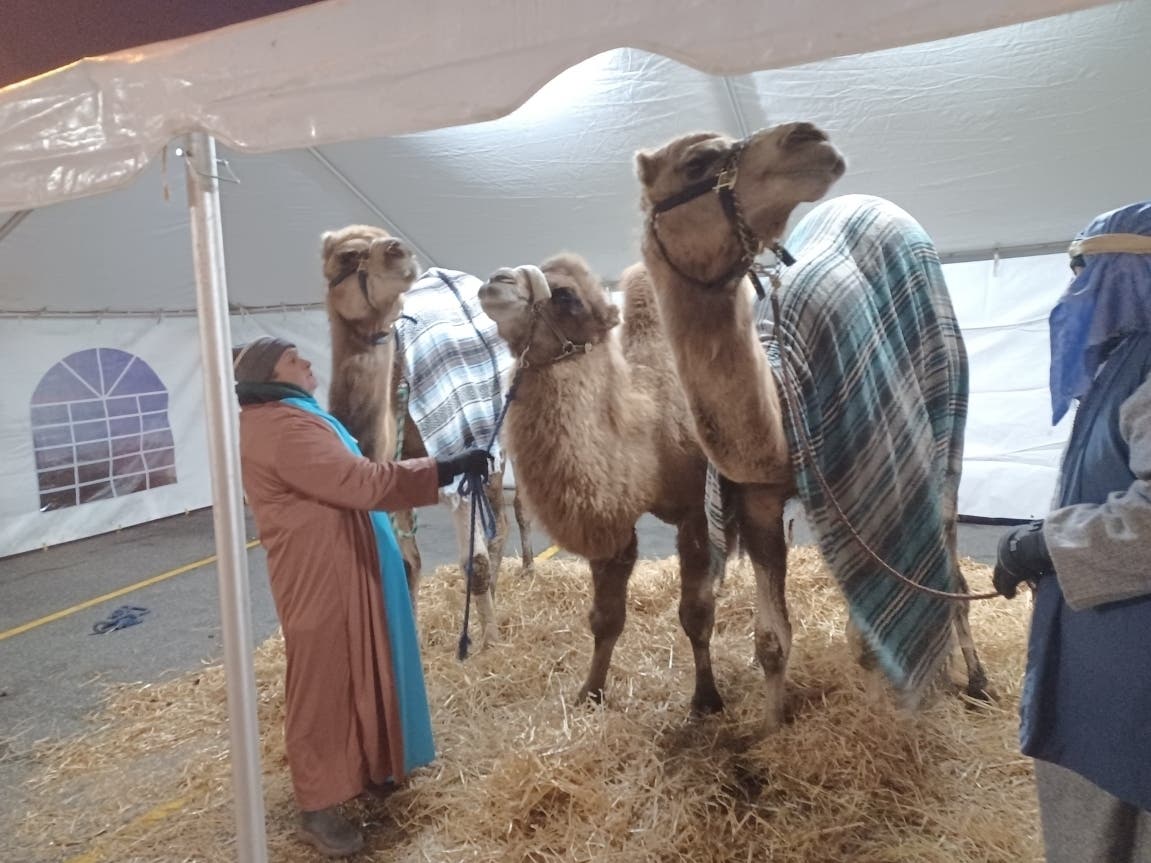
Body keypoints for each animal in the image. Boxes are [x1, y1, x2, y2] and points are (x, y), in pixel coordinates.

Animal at [320, 225, 533, 649]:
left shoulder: (460, 464)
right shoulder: (391, 475)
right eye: (348, 254)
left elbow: (473, 562)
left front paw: (489, 645)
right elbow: (407, 565)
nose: (398, 250)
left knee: (509, 516)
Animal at [477, 252, 732, 715]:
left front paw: (707, 700)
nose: (495, 280)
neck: (649, 427)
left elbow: (695, 613)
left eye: (566, 297)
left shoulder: (695, 511)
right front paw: (589, 694)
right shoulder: (609, 519)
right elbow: (606, 618)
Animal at [633, 121, 988, 712]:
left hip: (947, 412)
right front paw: (773, 724)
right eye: (697, 162)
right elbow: (771, 641)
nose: (808, 137)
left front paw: (881, 718)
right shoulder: (756, 500)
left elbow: (874, 637)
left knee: (951, 561)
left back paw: (979, 682)